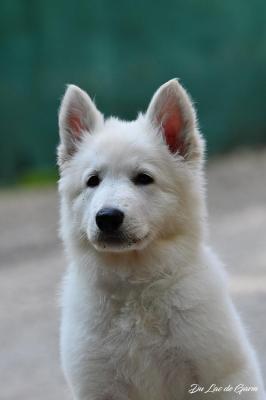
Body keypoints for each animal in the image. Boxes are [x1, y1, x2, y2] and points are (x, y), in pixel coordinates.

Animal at [57, 79, 264, 398]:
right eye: (93, 181)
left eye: (144, 178)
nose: (107, 217)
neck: (135, 287)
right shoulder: (98, 386)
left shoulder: (220, 375)